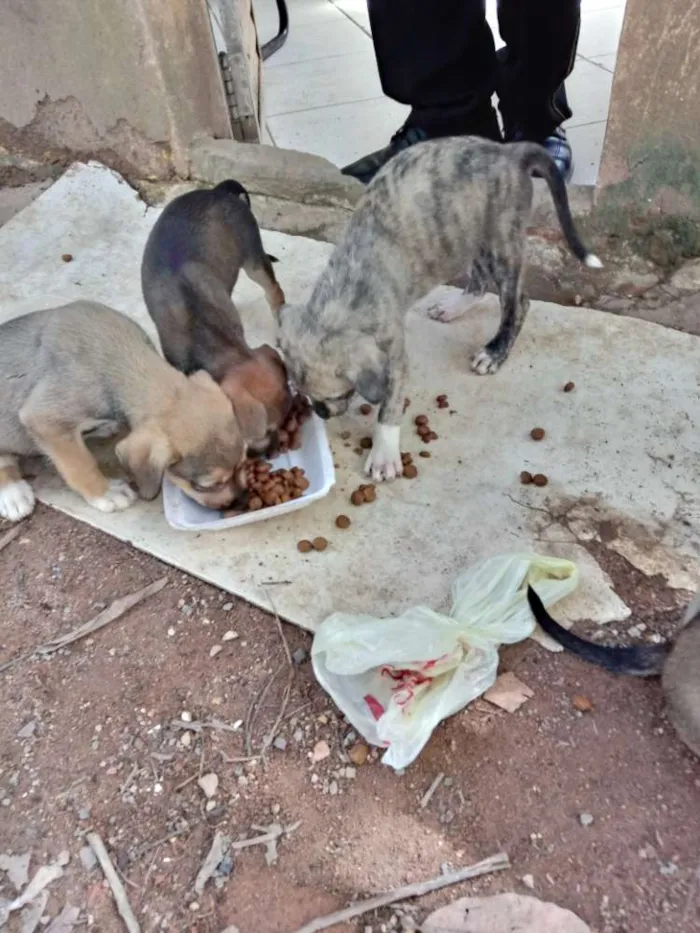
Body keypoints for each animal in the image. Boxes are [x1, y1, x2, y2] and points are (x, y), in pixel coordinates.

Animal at [0, 298, 249, 520]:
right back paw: (12, 494)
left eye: (243, 462)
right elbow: (82, 465)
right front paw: (105, 493)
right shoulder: (45, 419)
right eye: (206, 486)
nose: (240, 501)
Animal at [276, 138, 600, 480]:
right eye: (299, 389)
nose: (321, 412)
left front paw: (383, 454)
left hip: (500, 242)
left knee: (518, 302)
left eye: (335, 395)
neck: (342, 296)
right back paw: (454, 307)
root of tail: (508, 151)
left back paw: (494, 351)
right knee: (479, 281)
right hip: (469, 234)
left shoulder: (394, 355)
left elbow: (389, 407)